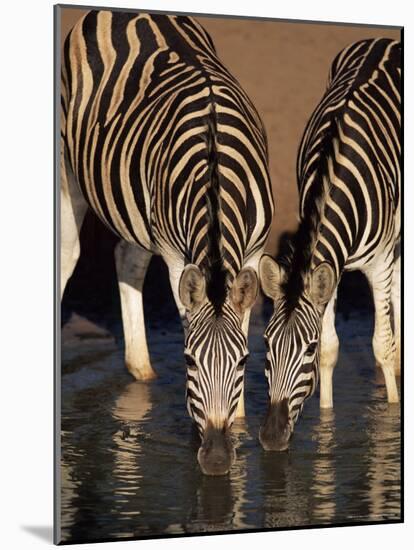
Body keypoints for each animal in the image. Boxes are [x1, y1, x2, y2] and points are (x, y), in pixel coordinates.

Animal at [60, 8, 274, 476]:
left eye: (245, 363)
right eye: (189, 362)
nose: (216, 459)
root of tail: (125, 10)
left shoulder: (254, 251)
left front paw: (240, 426)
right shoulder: (178, 257)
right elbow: (185, 318)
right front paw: (197, 431)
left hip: (138, 204)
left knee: (127, 257)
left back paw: (142, 371)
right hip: (68, 167)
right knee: (66, 257)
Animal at [258, 37, 402, 452]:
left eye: (303, 349)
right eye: (267, 345)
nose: (271, 438)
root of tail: (384, 40)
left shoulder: (379, 263)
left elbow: (381, 343)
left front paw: (391, 416)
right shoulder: (328, 269)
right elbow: (331, 349)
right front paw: (326, 427)